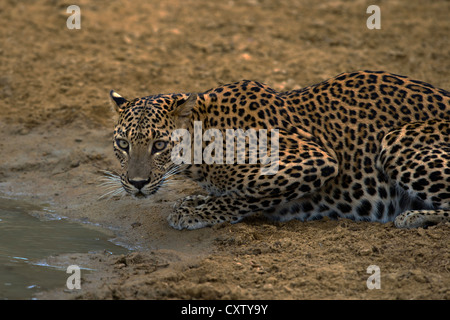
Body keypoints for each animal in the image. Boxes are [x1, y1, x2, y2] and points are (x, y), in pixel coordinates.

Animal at [106, 71, 450, 229]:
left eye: (159, 145)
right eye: (123, 144)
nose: (136, 184)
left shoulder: (313, 159)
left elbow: (247, 192)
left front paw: (195, 212)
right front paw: (196, 200)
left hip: (396, 141)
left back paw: (411, 217)